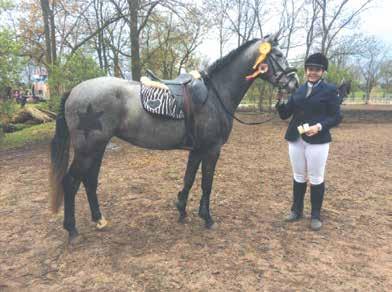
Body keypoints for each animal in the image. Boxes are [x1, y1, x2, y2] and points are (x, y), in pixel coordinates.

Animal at [50, 36, 298, 242]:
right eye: (277, 55)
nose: (294, 82)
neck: (215, 94)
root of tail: (74, 91)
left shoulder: (197, 149)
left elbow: (189, 178)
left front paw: (182, 209)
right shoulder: (212, 149)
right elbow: (206, 183)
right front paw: (207, 218)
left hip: (97, 148)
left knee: (89, 181)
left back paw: (99, 219)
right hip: (87, 149)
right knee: (70, 183)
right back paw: (72, 230)